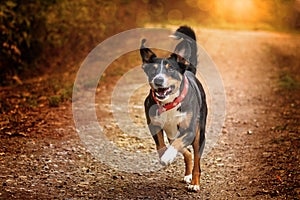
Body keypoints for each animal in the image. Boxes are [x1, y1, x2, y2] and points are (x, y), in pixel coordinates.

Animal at [140, 25, 206, 191]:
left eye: (170, 69)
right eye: (153, 70)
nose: (158, 80)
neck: (168, 104)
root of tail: (188, 69)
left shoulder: (189, 130)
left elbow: (177, 145)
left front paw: (168, 156)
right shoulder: (153, 124)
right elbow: (160, 144)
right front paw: (165, 156)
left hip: (199, 135)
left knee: (196, 160)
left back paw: (194, 183)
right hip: (172, 133)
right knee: (187, 153)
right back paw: (187, 175)